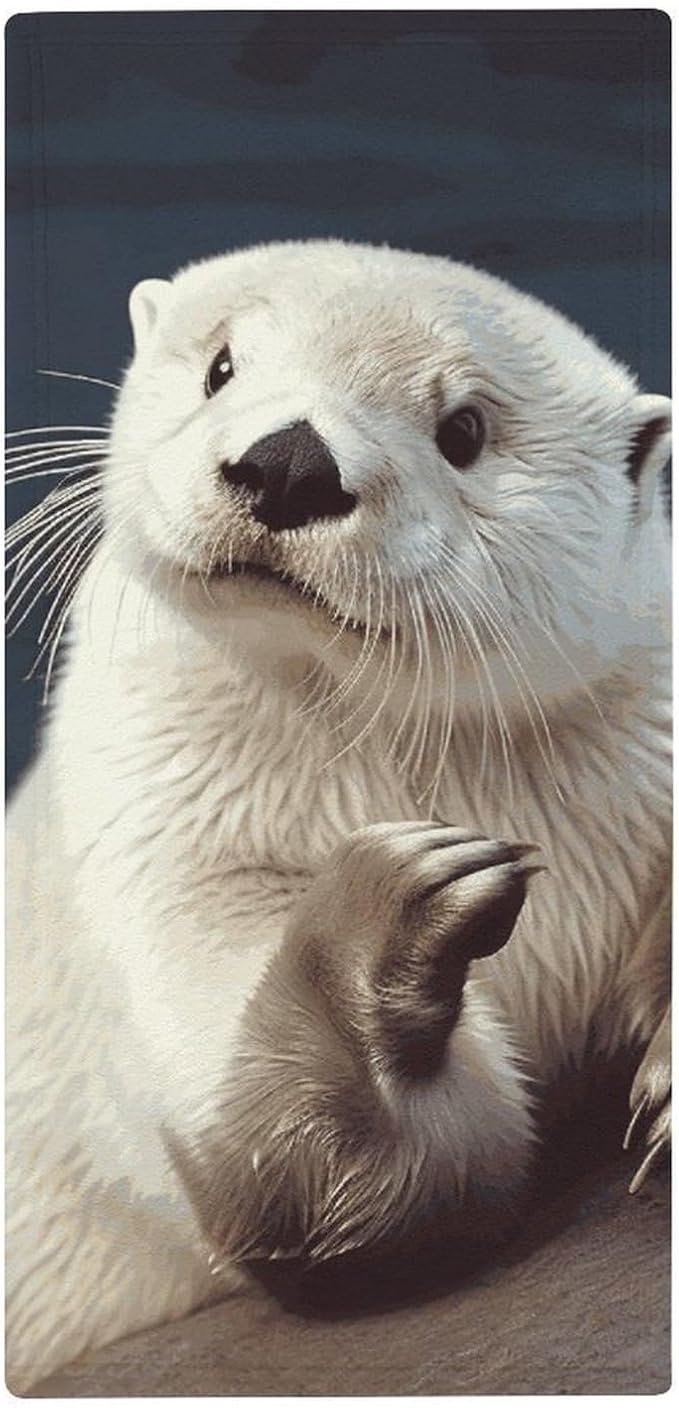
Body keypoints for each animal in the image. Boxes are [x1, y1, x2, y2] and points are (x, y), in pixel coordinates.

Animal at [6, 240, 671, 1391]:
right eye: (222, 365)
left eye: (463, 429)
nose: (287, 463)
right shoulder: (160, 836)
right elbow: (350, 1181)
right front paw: (400, 903)